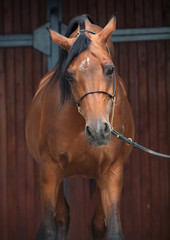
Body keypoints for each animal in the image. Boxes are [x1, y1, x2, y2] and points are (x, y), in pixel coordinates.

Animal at [25, 14, 134, 240]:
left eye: (110, 69)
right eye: (69, 76)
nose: (98, 131)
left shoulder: (112, 172)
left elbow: (113, 231)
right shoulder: (49, 170)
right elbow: (48, 229)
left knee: (97, 223)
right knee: (63, 217)